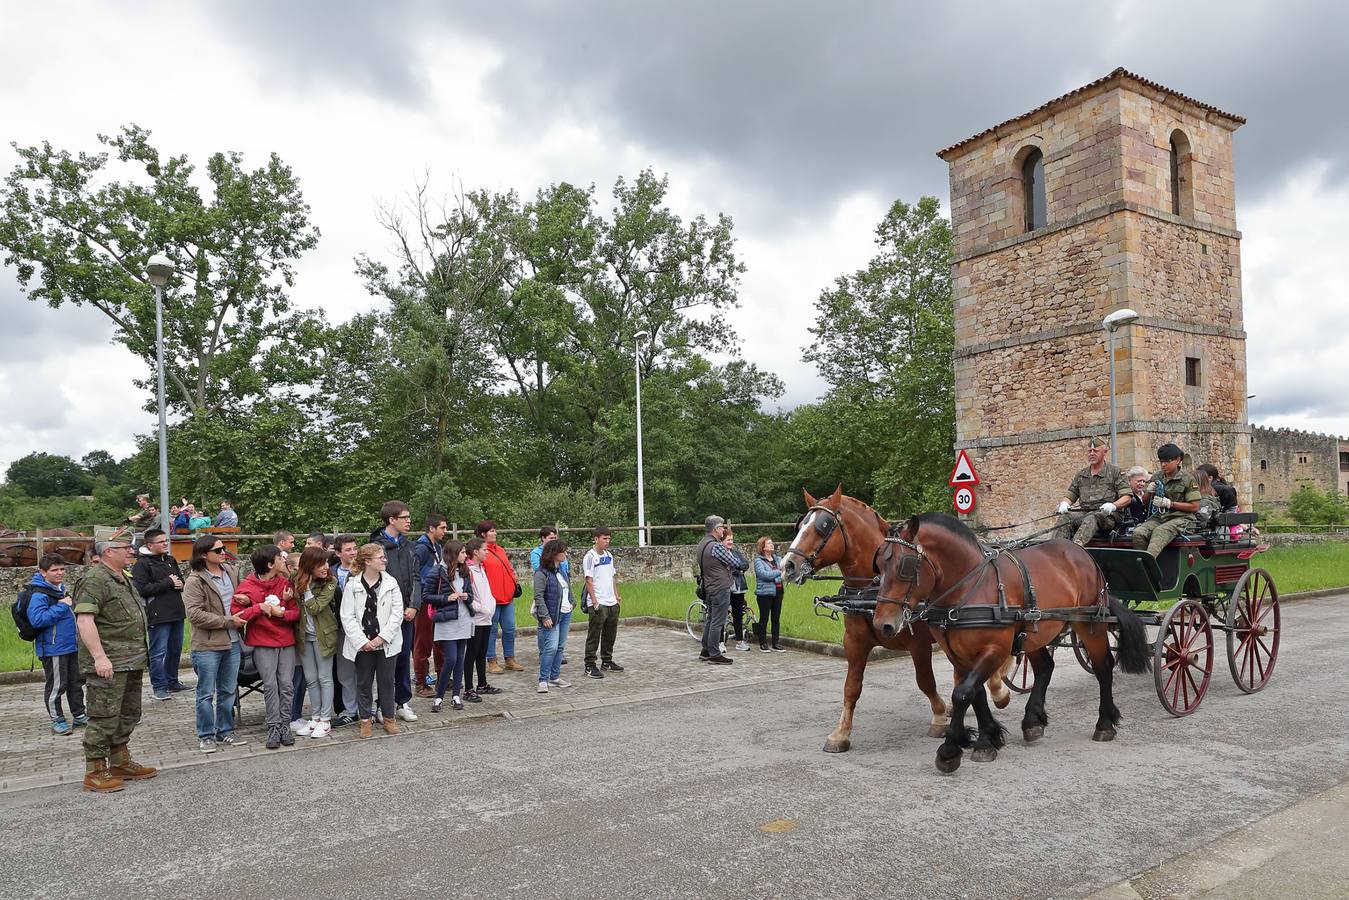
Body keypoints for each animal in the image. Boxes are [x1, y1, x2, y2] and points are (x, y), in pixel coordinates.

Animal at [782, 488, 1014, 750]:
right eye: (800, 524)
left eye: (822, 526)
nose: (787, 565)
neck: (870, 592)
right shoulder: (854, 642)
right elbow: (851, 687)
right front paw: (840, 733)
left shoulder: (918, 644)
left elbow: (925, 681)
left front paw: (939, 717)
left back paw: (998, 691)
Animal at [868, 512, 1143, 777]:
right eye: (879, 563)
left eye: (904, 566)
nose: (883, 624)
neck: (970, 586)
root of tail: (1082, 554)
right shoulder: (957, 654)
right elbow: (975, 693)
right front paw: (988, 738)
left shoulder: (995, 650)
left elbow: (962, 693)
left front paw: (950, 750)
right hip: (1035, 632)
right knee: (1045, 667)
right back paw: (1032, 722)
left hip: (1090, 624)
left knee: (1103, 666)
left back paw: (1104, 723)